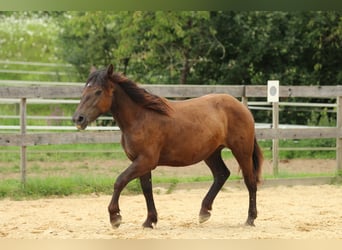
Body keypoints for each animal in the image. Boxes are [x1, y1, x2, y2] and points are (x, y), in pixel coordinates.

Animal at [72, 64, 264, 229]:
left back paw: (250, 218)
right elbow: (146, 189)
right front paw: (150, 221)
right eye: (84, 90)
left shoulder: (145, 161)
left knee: (250, 181)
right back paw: (204, 212)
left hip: (242, 151)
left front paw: (115, 217)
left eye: (98, 91)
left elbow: (120, 181)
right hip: (211, 153)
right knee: (222, 174)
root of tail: (242, 107)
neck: (140, 118)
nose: (78, 119)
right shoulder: (141, 162)